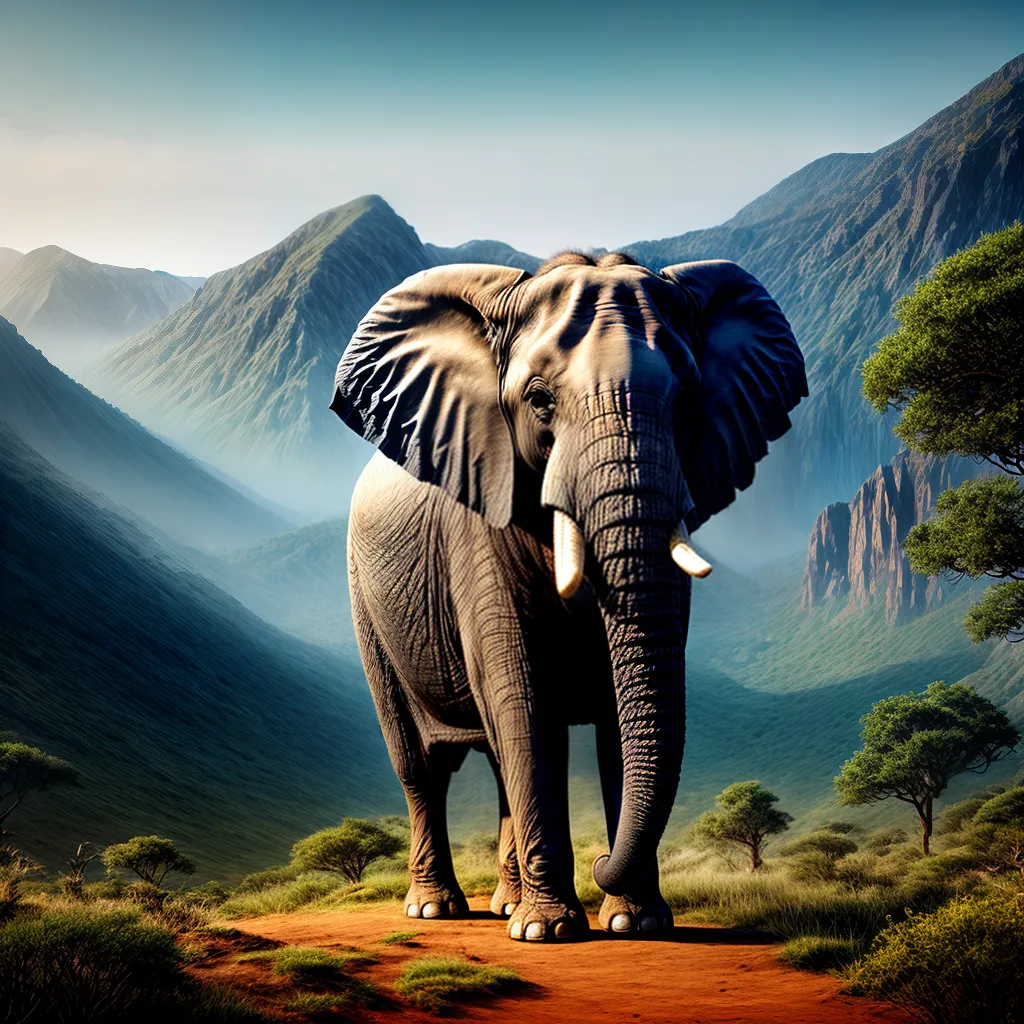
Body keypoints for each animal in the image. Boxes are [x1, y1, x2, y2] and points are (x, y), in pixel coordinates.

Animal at [329, 250, 805, 942]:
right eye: (539, 400)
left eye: (688, 399)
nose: (603, 861)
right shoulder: (480, 515)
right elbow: (523, 696)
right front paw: (547, 933)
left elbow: (615, 708)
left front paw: (635, 923)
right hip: (366, 606)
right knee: (422, 767)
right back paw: (437, 908)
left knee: (495, 760)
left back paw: (505, 903)